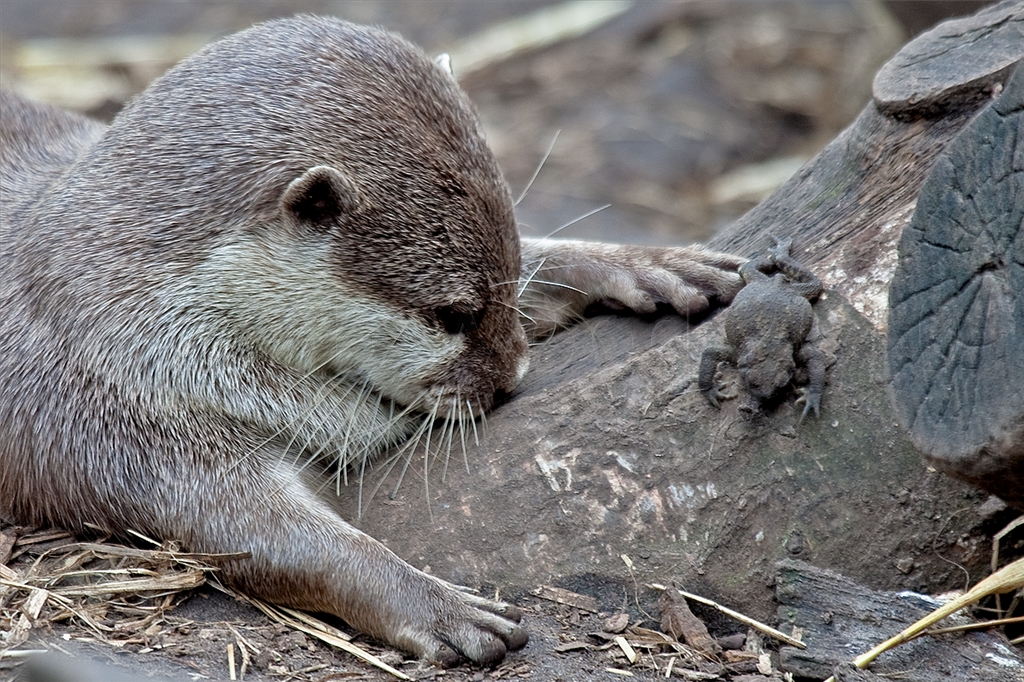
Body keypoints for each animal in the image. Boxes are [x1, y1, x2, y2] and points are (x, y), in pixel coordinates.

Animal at [0, 17, 744, 666]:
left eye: (503, 277)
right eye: (450, 314)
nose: (509, 378)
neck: (126, 310)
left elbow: (548, 264)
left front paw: (647, 263)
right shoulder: (126, 420)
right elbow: (281, 544)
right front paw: (440, 606)